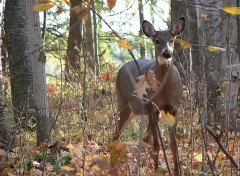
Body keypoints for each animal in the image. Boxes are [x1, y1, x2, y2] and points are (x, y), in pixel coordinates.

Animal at [114, 16, 186, 175]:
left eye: (172, 39)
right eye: (157, 40)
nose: (167, 53)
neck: (165, 91)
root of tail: (122, 67)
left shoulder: (174, 108)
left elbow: (173, 145)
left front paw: (177, 171)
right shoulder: (152, 107)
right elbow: (157, 145)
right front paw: (156, 170)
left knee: (145, 138)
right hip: (123, 103)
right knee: (116, 134)